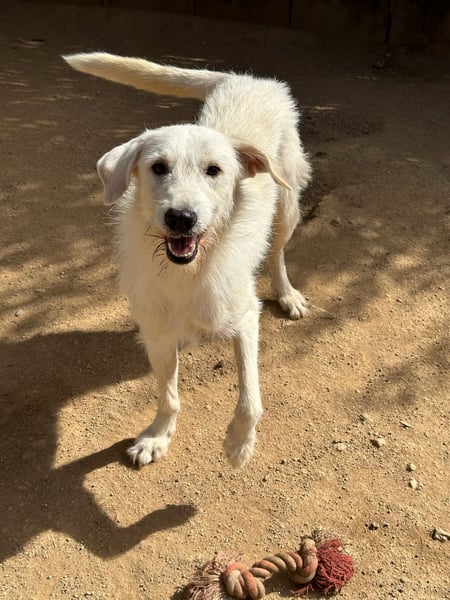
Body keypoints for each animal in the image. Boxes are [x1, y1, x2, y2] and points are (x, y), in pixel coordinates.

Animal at [64, 52, 311, 468]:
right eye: (158, 167)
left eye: (214, 170)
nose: (181, 217)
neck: (189, 272)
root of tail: (249, 79)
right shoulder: (157, 333)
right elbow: (168, 396)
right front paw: (157, 436)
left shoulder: (246, 319)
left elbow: (250, 400)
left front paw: (239, 443)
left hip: (287, 208)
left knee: (277, 252)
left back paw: (287, 293)